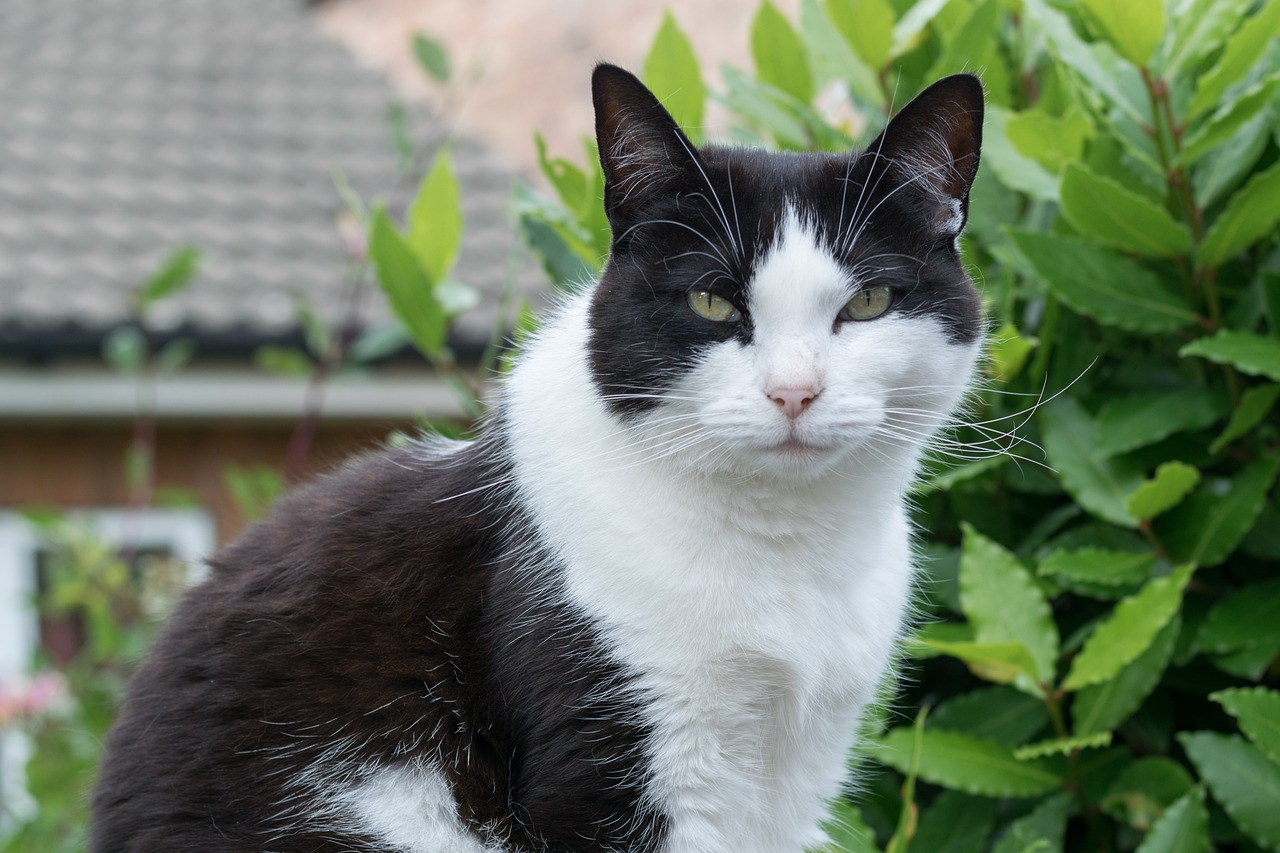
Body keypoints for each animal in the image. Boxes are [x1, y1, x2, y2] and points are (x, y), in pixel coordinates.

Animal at [90, 61, 983, 850]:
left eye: (869, 302)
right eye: (710, 299)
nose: (794, 391)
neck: (783, 547)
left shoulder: (799, 767)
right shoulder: (606, 759)